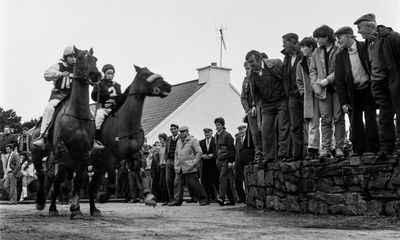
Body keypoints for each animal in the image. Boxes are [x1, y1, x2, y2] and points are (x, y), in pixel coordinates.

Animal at [30, 47, 101, 219]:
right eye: (80, 58)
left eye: (95, 59)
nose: (95, 75)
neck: (78, 114)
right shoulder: (63, 152)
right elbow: (59, 181)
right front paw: (54, 208)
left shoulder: (83, 154)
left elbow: (77, 182)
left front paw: (76, 210)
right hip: (38, 154)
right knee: (43, 175)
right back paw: (41, 202)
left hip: (54, 156)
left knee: (51, 177)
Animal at [88, 64, 171, 215]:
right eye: (145, 75)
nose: (167, 86)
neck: (126, 123)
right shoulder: (113, 157)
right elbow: (112, 182)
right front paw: (105, 194)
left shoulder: (134, 154)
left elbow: (141, 170)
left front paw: (149, 196)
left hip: (98, 167)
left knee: (90, 187)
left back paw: (94, 210)